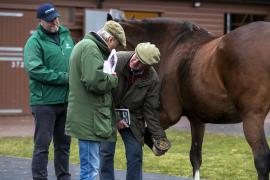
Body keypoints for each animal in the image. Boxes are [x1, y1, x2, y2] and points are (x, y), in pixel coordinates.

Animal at [119, 18, 270, 180]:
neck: (171, 46)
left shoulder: (168, 114)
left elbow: (147, 133)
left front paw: (158, 146)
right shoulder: (197, 119)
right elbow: (196, 157)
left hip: (252, 118)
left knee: (261, 161)